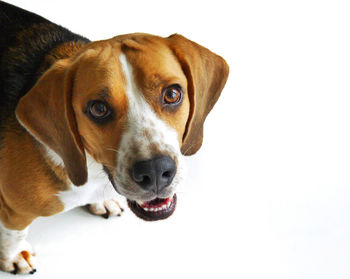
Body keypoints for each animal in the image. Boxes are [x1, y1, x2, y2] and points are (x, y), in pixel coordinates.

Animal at [0, 0, 228, 276]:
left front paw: (103, 201)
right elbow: (14, 233)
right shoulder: (13, 209)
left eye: (172, 94)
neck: (93, 170)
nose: (155, 170)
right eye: (98, 108)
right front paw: (13, 256)